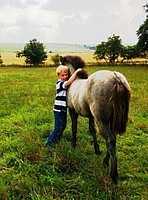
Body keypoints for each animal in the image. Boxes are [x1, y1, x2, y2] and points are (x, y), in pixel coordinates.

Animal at [59, 54, 131, 183]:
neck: (74, 81)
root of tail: (115, 78)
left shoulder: (72, 111)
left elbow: (74, 128)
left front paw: (73, 144)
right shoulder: (91, 116)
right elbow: (92, 130)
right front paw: (97, 150)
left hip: (102, 120)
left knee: (110, 140)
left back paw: (113, 175)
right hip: (112, 121)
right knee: (113, 139)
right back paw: (105, 162)